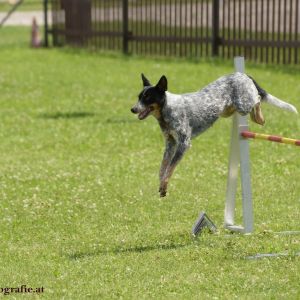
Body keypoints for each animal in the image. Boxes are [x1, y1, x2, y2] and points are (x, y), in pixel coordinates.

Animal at [130, 72, 296, 197]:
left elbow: (170, 168)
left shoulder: (183, 144)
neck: (167, 110)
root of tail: (242, 74)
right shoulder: (170, 143)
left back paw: (260, 116)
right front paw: (161, 185)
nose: (133, 109)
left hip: (243, 105)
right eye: (139, 97)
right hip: (229, 110)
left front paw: (164, 186)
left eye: (148, 97)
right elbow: (163, 168)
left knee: (258, 99)